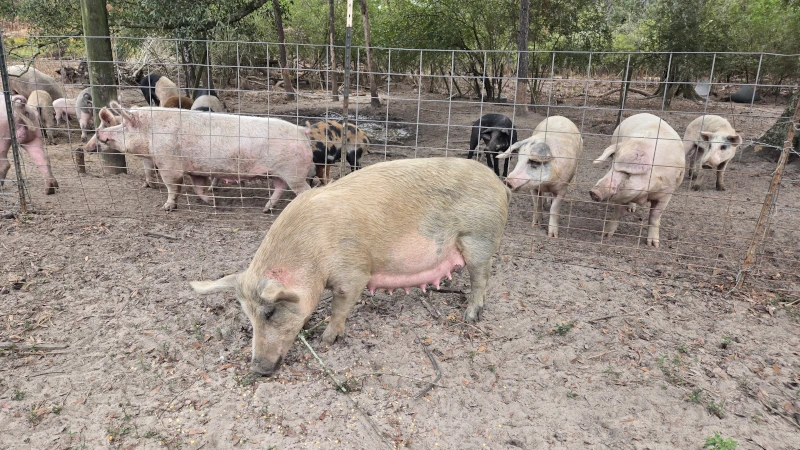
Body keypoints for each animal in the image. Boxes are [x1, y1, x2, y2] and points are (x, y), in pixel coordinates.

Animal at [94, 102, 313, 211]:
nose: (98, 132)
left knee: (305, 190)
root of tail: (302, 131)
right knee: (279, 187)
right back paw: (266, 209)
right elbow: (198, 187)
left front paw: (166, 207)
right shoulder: (196, 170)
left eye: (124, 125)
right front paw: (215, 202)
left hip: (294, 172)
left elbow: (172, 186)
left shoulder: (168, 164)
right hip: (277, 173)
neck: (151, 132)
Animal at [190, 157, 510, 375]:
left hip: (479, 238)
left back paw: (471, 316)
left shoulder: (353, 273)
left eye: (270, 312)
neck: (312, 254)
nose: (257, 369)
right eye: (249, 315)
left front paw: (327, 340)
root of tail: (498, 183)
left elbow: (340, 306)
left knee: (482, 276)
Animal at [589, 113, 685, 248]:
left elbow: (655, 217)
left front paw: (653, 245)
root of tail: (643, 113)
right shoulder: (620, 194)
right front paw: (606, 235)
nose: (594, 192)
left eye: (627, 173)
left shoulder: (666, 193)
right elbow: (617, 212)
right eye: (612, 166)